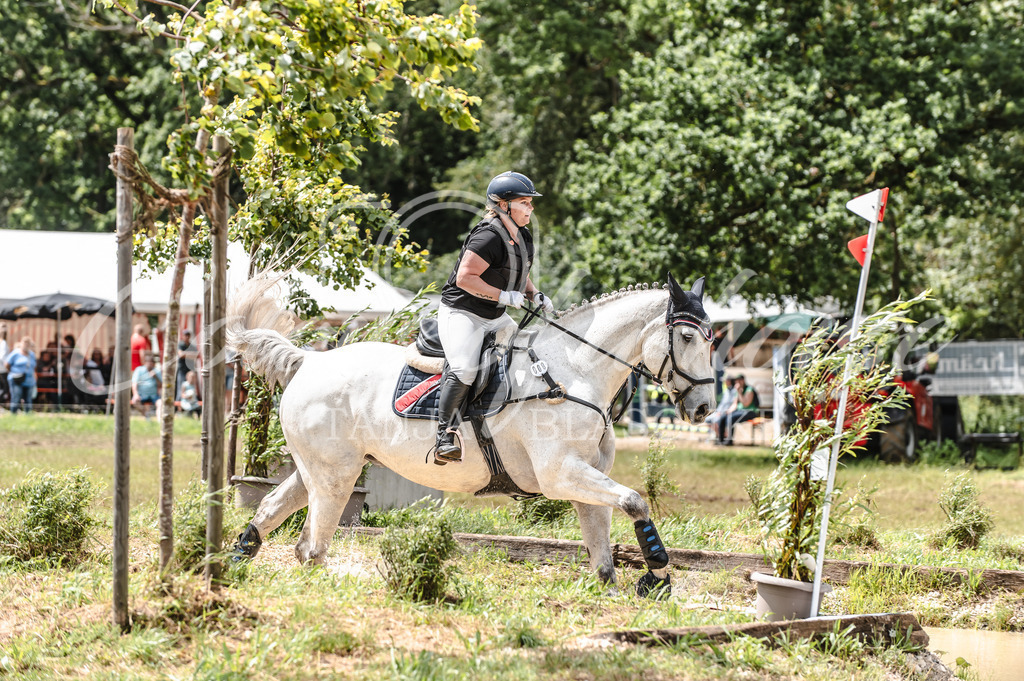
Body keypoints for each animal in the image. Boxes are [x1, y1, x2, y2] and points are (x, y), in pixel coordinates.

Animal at [229, 270, 716, 593]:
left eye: (713, 339)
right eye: (688, 339)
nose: (704, 408)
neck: (574, 371)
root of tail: (310, 360)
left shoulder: (584, 475)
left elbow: (603, 549)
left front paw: (625, 584)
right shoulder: (560, 474)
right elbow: (635, 500)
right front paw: (657, 573)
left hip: (319, 468)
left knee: (275, 510)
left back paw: (234, 562)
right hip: (335, 476)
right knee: (312, 546)